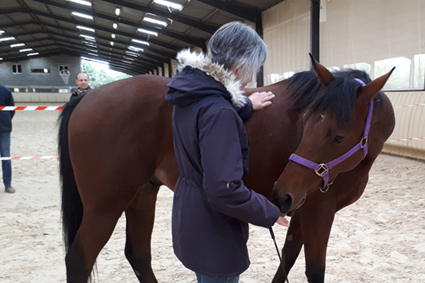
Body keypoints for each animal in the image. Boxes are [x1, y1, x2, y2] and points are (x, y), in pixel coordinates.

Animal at [58, 56, 394, 282]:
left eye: (338, 137)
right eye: (306, 124)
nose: (280, 194)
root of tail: (87, 97)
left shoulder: (301, 206)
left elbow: (287, 257)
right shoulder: (318, 210)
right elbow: (314, 270)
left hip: (141, 194)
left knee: (138, 254)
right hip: (104, 206)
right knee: (79, 259)